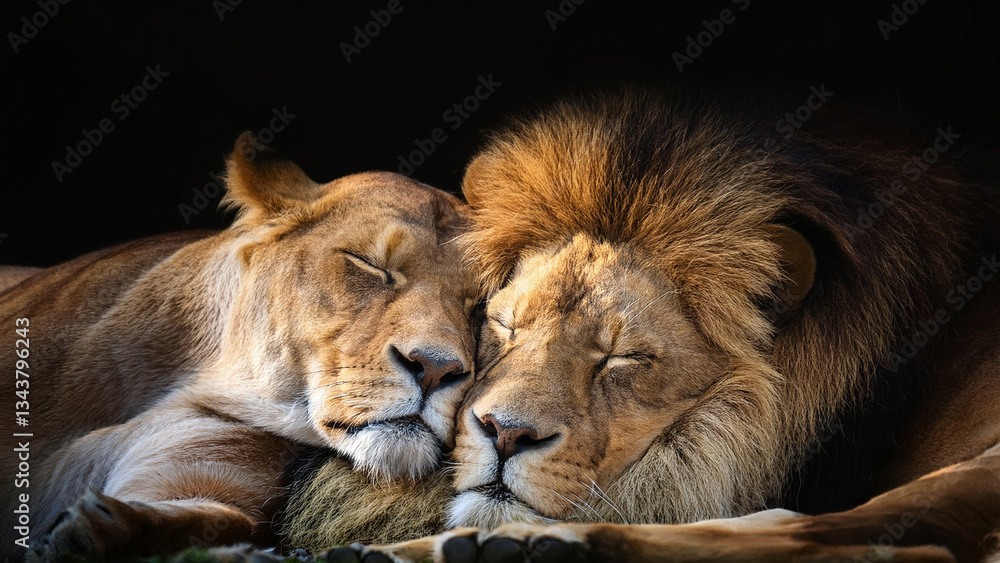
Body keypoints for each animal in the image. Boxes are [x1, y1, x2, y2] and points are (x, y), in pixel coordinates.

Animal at [0, 132, 482, 562]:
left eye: (478, 305)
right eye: (368, 265)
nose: (435, 367)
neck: (196, 381)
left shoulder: (201, 475)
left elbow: (211, 520)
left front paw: (96, 530)